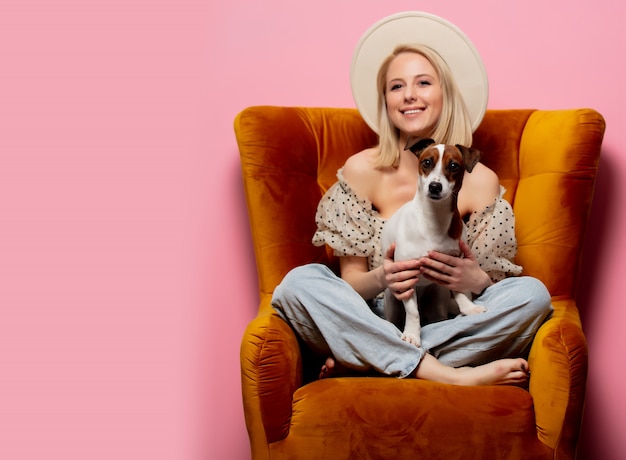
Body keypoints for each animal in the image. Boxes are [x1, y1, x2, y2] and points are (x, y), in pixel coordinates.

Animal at [378, 138, 486, 346]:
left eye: (453, 166)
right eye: (427, 162)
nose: (435, 187)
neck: (434, 219)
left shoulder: (454, 266)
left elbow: (459, 289)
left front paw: (468, 307)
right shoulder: (406, 276)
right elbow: (413, 312)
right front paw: (412, 334)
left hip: (438, 299)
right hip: (393, 302)